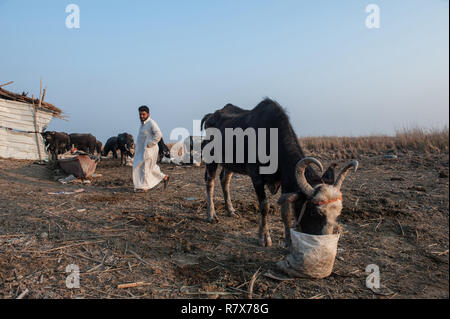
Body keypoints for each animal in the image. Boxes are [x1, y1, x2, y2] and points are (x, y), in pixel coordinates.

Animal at [200, 99, 358, 249]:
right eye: (314, 212)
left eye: (338, 214)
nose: (324, 243)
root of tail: (210, 116)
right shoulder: (256, 179)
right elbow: (265, 206)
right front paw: (264, 238)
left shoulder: (285, 182)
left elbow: (285, 212)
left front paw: (288, 241)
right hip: (211, 159)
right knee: (210, 182)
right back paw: (211, 215)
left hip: (230, 164)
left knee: (224, 180)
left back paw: (231, 210)